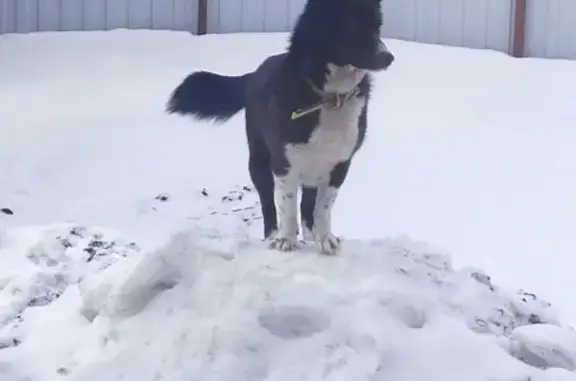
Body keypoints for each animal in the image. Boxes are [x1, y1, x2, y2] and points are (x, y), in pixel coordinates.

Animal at [164, 0, 394, 254]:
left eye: (377, 26)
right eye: (352, 25)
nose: (388, 57)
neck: (330, 97)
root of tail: (254, 73)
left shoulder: (340, 164)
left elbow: (323, 206)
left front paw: (324, 238)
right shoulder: (284, 163)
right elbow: (287, 204)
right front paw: (286, 238)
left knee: (308, 205)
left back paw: (311, 235)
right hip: (258, 161)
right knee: (268, 203)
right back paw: (273, 234)